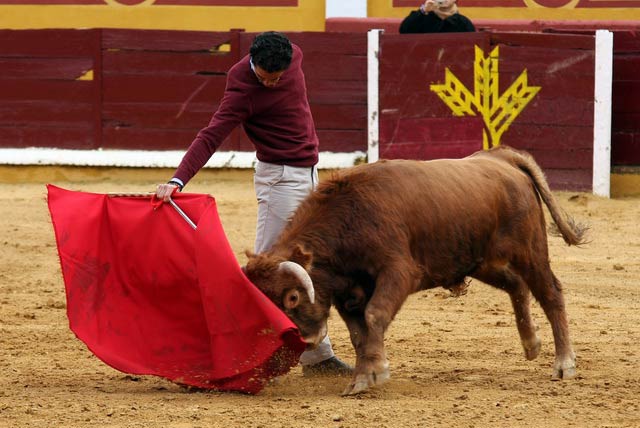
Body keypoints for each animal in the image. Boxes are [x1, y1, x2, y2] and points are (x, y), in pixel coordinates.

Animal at [242, 146, 588, 394]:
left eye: (292, 298)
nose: (307, 339)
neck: (351, 217)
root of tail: (502, 158)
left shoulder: (398, 272)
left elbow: (374, 315)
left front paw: (374, 372)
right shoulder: (346, 292)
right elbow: (358, 333)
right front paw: (364, 376)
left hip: (530, 250)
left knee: (550, 293)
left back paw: (564, 364)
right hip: (479, 260)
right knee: (516, 284)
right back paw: (531, 344)